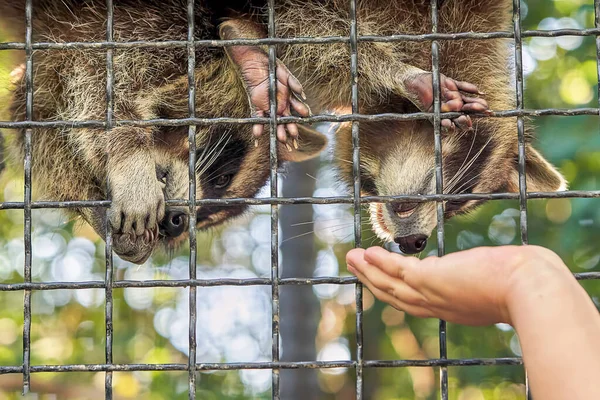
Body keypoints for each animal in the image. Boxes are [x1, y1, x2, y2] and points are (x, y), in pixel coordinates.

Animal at [0, 0, 328, 266]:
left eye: (206, 220)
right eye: (223, 179)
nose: (175, 223)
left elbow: (40, 130)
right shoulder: (139, 27)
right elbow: (100, 82)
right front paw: (129, 159)